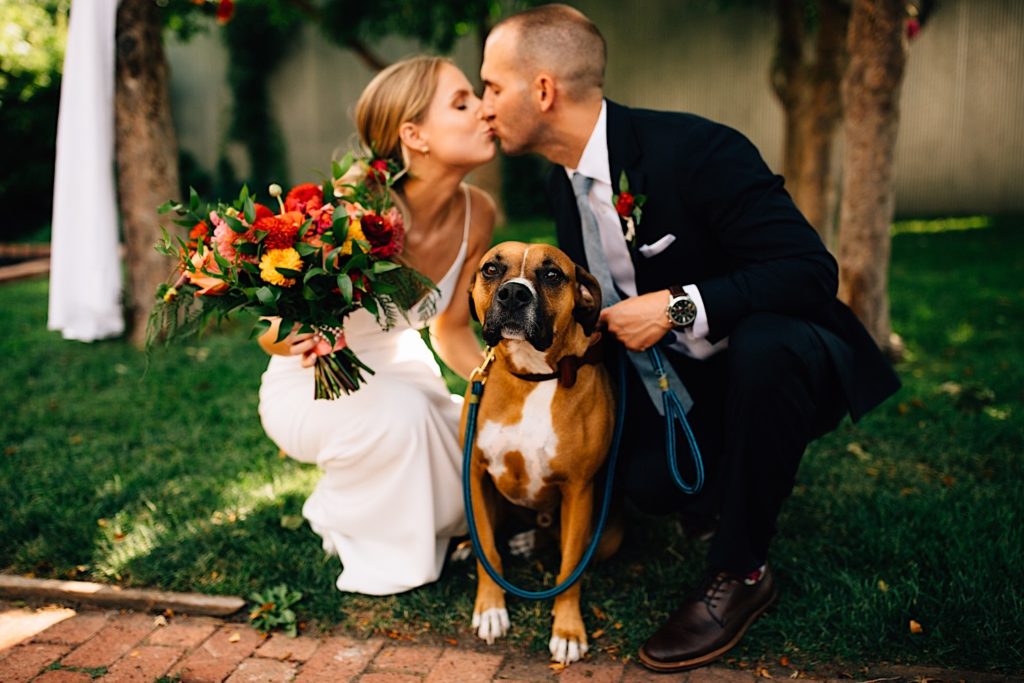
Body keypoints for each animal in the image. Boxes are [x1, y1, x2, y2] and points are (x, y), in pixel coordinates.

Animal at [462, 240, 618, 663]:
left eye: (552, 275)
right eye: (491, 269)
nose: (514, 293)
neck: (533, 376)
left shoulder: (579, 491)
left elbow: (569, 569)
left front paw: (568, 630)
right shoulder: (475, 475)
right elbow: (488, 550)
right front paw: (491, 609)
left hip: (605, 533)